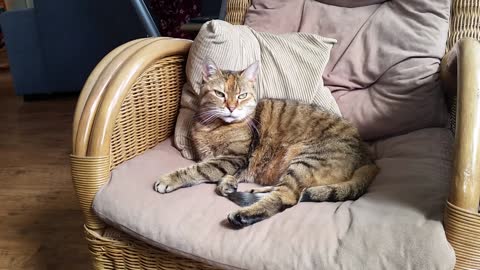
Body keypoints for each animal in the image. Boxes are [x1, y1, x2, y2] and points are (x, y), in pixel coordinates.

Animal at [154, 59, 378, 228]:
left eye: (242, 95)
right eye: (220, 94)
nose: (231, 108)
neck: (213, 126)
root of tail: (369, 159)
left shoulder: (232, 158)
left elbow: (196, 170)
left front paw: (169, 179)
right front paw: (228, 183)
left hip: (306, 160)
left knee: (288, 197)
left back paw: (244, 215)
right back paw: (255, 192)